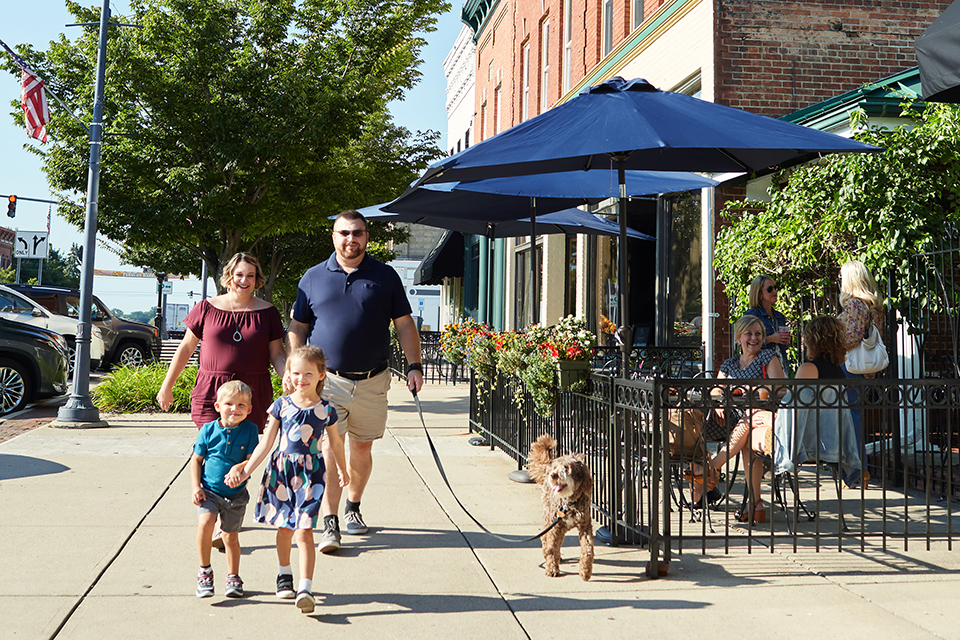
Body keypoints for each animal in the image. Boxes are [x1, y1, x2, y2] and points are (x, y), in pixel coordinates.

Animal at [524, 436, 592, 580]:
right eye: (555, 467)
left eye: (566, 468)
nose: (553, 475)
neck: (570, 503)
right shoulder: (555, 527)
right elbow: (551, 545)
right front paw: (551, 568)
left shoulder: (585, 526)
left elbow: (588, 549)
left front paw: (585, 571)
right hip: (550, 518)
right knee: (545, 537)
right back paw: (549, 554)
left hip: (561, 526)